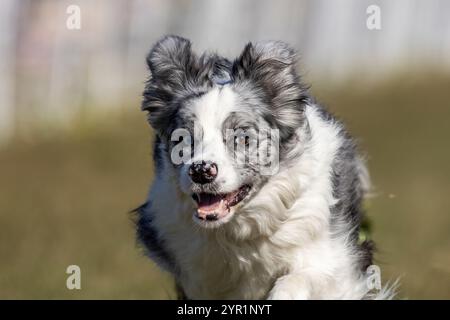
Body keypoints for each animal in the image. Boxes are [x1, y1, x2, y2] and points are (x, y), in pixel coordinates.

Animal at [134, 35, 394, 300]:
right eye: (183, 139)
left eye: (243, 138)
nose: (201, 171)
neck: (239, 229)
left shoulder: (334, 259)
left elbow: (298, 279)